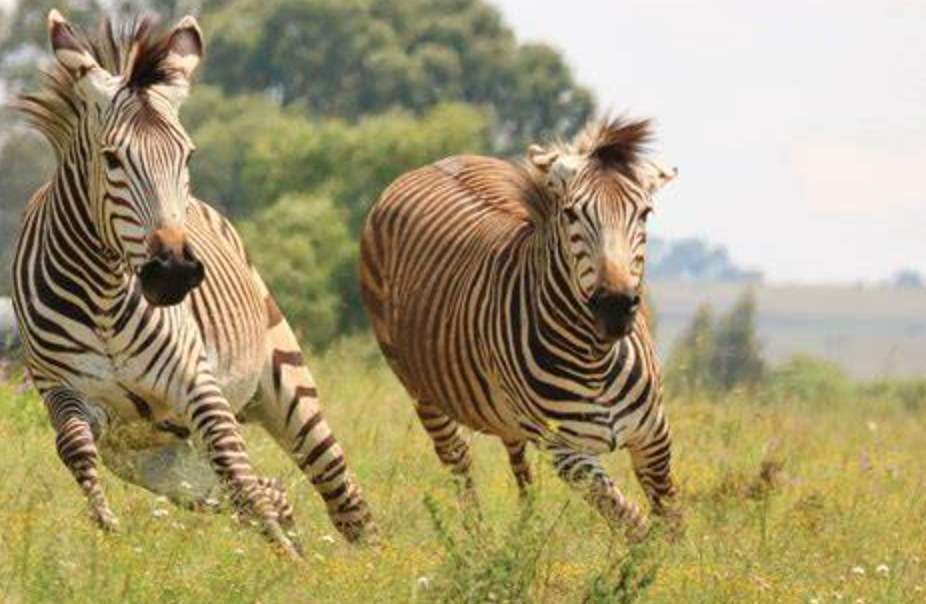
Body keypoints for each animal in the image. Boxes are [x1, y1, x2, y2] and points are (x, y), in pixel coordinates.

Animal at [10, 10, 376, 556]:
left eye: (188, 156)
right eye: (111, 158)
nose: (174, 271)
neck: (102, 295)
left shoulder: (196, 383)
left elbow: (236, 469)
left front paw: (292, 561)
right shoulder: (64, 391)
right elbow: (74, 446)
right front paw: (107, 527)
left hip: (285, 384)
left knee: (337, 490)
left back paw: (366, 562)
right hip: (156, 460)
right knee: (260, 489)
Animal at [362, 118, 680, 536]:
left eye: (644, 213)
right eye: (572, 214)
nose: (615, 308)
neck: (596, 358)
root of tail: (431, 164)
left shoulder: (654, 437)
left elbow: (671, 522)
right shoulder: (567, 452)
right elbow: (633, 524)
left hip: (505, 410)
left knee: (516, 458)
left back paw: (527, 531)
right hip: (421, 390)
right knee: (458, 460)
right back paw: (477, 540)